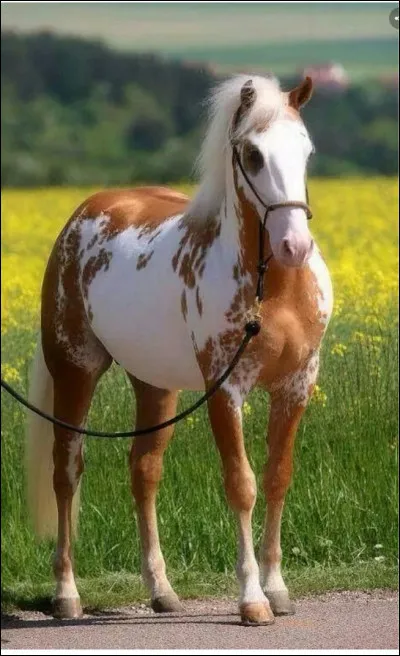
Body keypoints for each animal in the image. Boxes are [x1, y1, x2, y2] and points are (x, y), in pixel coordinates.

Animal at [26, 73, 333, 626]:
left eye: (306, 150)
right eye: (252, 154)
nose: (295, 246)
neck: (273, 290)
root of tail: (83, 214)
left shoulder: (296, 385)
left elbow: (277, 478)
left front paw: (278, 590)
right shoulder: (225, 390)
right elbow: (242, 484)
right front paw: (252, 600)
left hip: (155, 384)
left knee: (144, 470)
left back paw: (162, 591)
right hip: (75, 370)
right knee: (67, 471)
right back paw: (66, 594)